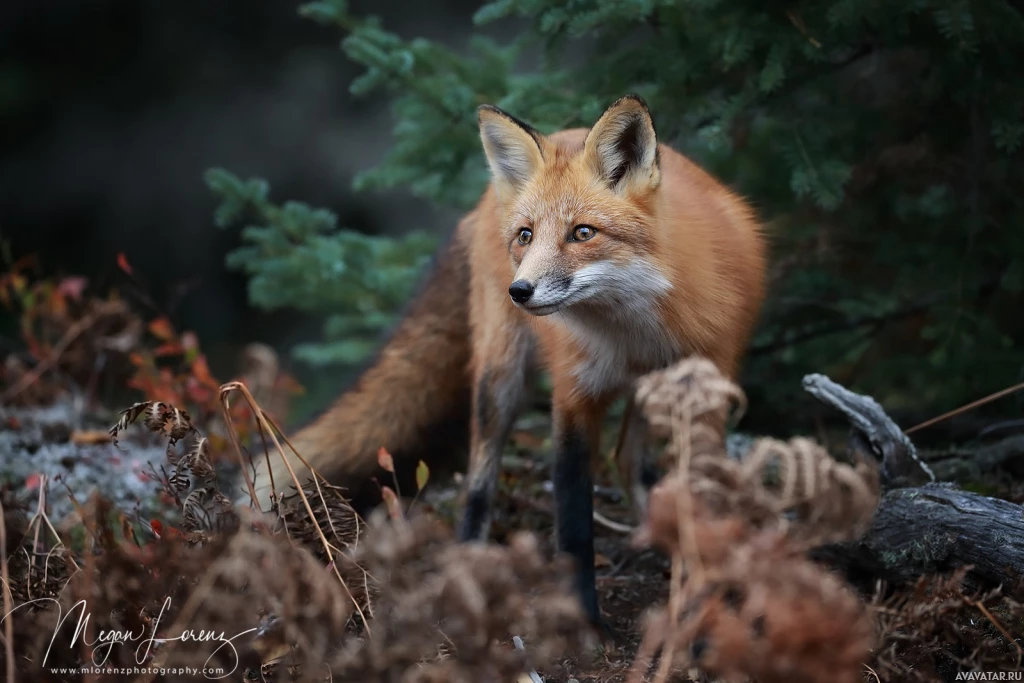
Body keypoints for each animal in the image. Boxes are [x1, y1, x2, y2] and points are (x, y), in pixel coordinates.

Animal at [247, 96, 765, 630]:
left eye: (583, 233)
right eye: (526, 235)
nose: (520, 291)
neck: (633, 333)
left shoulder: (707, 387)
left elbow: (702, 494)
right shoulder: (574, 396)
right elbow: (574, 521)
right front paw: (585, 620)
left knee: (629, 461)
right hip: (500, 381)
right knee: (479, 484)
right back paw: (467, 570)